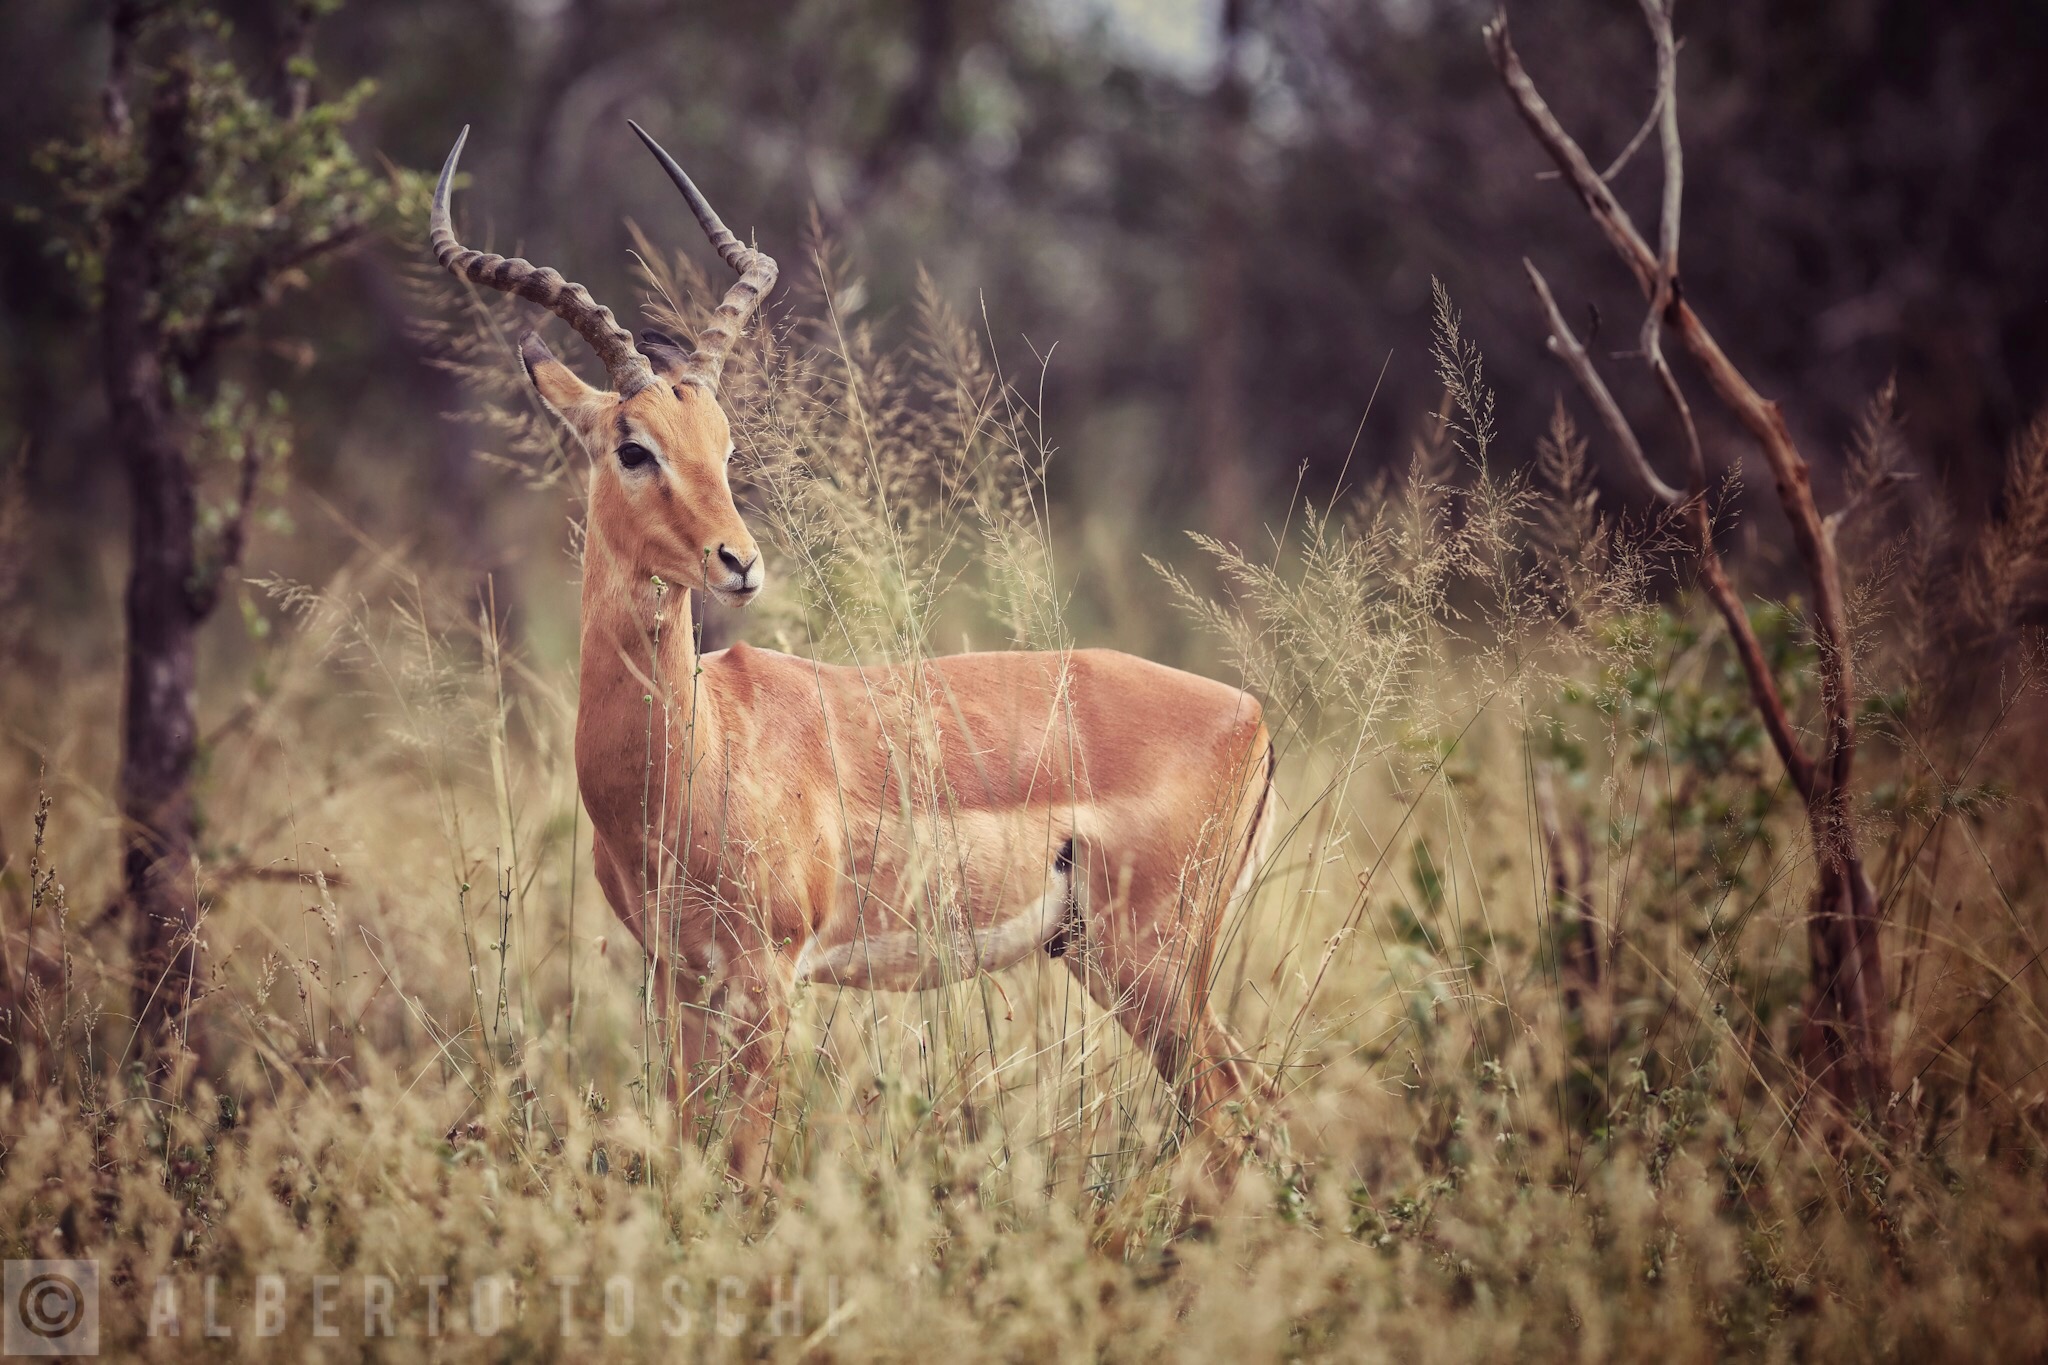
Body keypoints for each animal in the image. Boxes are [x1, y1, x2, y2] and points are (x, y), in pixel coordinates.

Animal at [430, 124, 1278, 1183]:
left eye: (724, 443)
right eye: (634, 446)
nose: (739, 561)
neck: (697, 752)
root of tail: (1254, 716)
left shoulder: (766, 977)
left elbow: (745, 1167)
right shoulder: (675, 975)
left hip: (1148, 962)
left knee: (1231, 1107)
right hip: (1107, 959)